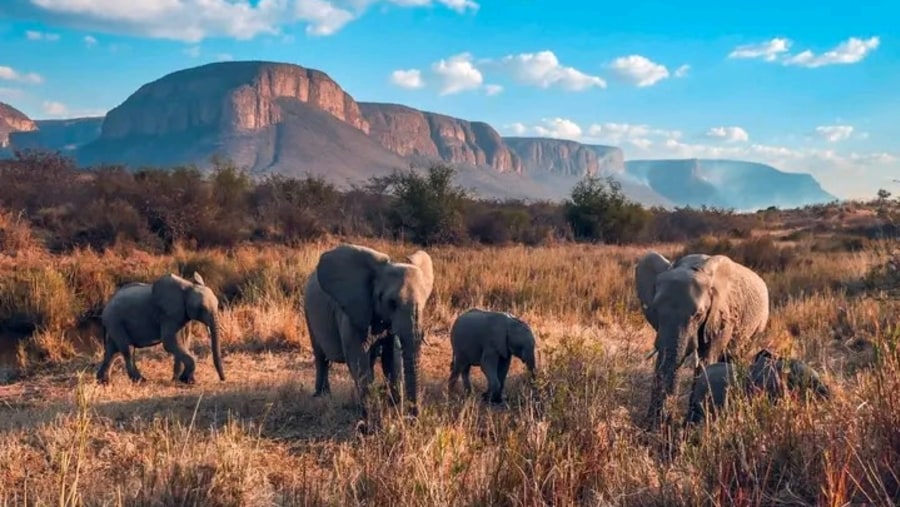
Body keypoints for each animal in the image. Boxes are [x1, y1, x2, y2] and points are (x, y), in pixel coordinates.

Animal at [97, 274, 225, 384]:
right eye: (201, 308)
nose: (223, 379)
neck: (187, 287)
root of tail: (107, 304)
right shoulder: (168, 314)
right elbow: (169, 342)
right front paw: (187, 380)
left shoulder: (182, 315)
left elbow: (183, 343)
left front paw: (178, 379)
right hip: (115, 320)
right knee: (127, 349)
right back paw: (140, 380)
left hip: (114, 322)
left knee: (112, 350)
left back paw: (103, 382)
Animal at [304, 244, 434, 426]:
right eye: (391, 303)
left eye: (424, 302)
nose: (412, 420)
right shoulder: (353, 311)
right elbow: (358, 359)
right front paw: (371, 424)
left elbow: (392, 358)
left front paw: (392, 409)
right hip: (308, 311)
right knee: (321, 357)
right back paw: (322, 396)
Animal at [636, 252, 768, 430]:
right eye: (655, 310)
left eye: (699, 315)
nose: (665, 422)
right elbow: (662, 358)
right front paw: (654, 426)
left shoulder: (722, 316)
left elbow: (706, 359)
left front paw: (689, 426)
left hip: (758, 326)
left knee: (736, 355)